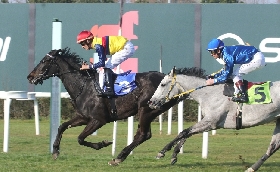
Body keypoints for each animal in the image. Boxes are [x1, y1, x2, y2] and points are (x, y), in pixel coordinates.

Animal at [149, 66, 280, 171]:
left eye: (162, 84)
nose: (151, 102)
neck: (209, 93)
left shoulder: (211, 122)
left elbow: (184, 132)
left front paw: (163, 152)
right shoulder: (209, 123)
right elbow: (187, 133)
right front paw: (174, 155)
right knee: (273, 147)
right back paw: (251, 168)